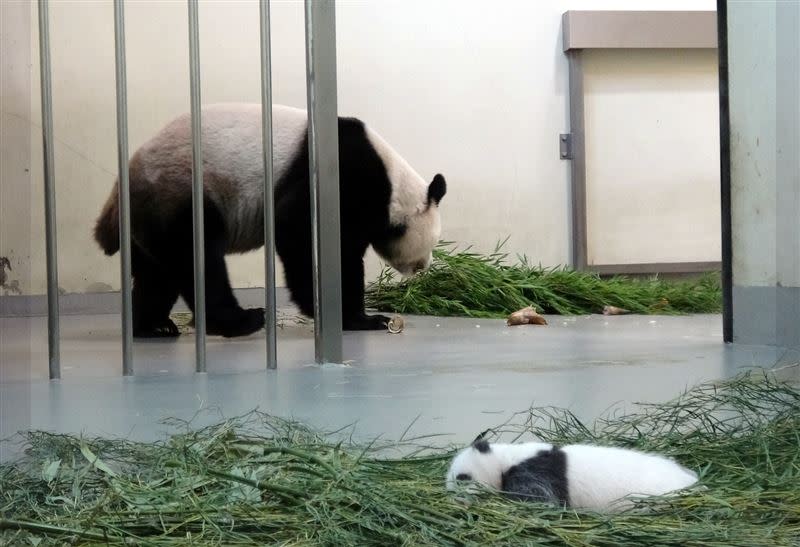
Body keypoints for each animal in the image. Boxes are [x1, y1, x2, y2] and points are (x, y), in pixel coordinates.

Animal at [96, 104, 446, 338]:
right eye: (432, 243)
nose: (425, 267)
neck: (394, 187)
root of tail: (120, 191)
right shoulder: (344, 177)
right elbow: (296, 231)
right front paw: (359, 318)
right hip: (183, 192)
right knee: (198, 259)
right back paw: (242, 320)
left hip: (150, 216)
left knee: (158, 273)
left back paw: (154, 326)